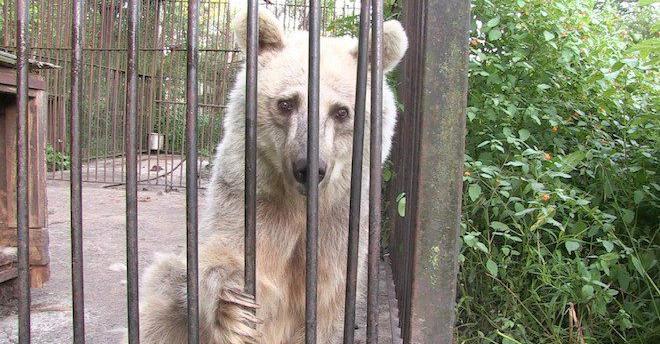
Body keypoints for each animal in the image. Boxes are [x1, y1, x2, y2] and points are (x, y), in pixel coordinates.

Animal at [135, 8, 408, 344]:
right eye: (286, 103)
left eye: (341, 111)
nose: (308, 168)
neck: (299, 205)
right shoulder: (252, 199)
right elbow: (226, 258)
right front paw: (234, 309)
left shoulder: (340, 222)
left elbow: (327, 302)